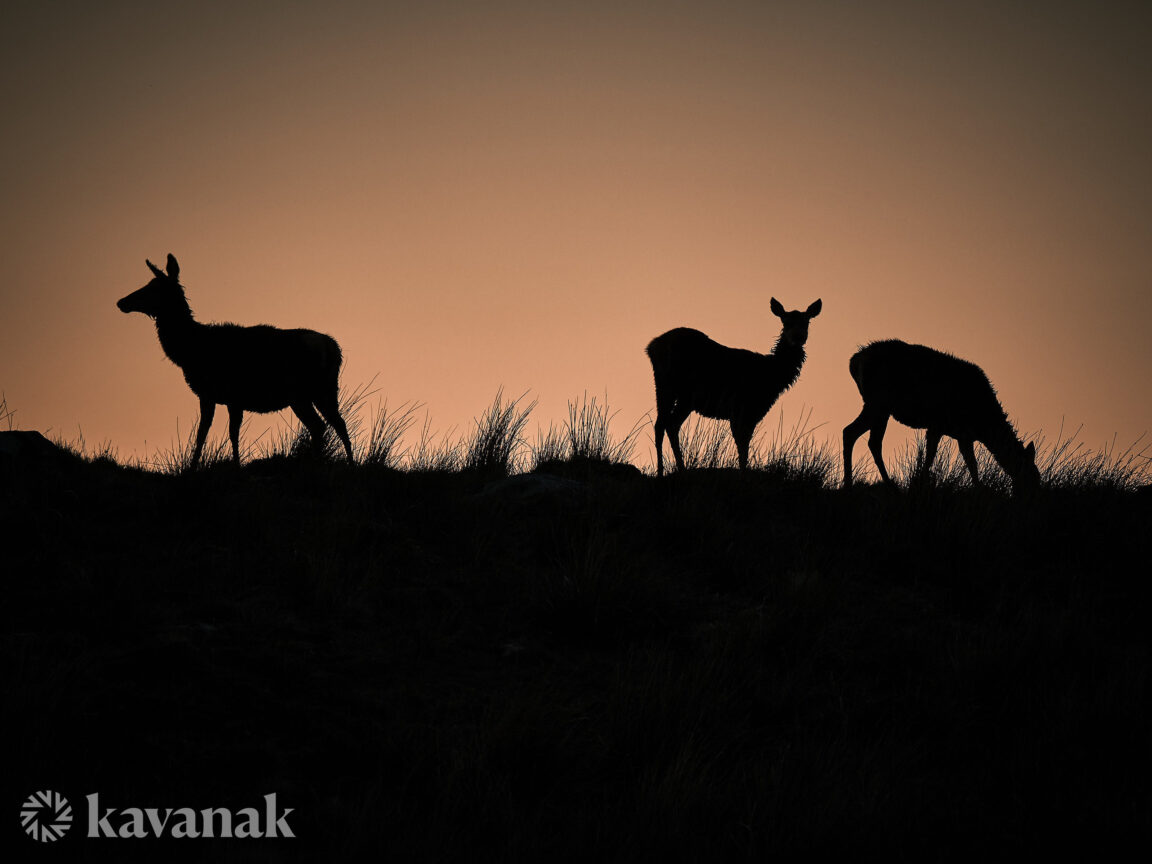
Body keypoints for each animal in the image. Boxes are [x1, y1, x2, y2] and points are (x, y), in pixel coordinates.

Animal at [117, 254, 355, 468]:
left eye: (154, 288)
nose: (121, 302)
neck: (190, 350)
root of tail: (333, 348)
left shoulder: (223, 393)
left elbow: (221, 433)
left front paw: (216, 467)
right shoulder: (217, 396)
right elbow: (208, 432)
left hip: (307, 392)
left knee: (326, 425)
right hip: (321, 391)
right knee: (330, 424)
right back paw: (334, 464)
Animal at [646, 298, 822, 476]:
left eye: (807, 321)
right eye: (785, 322)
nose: (798, 337)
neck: (769, 376)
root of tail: (652, 347)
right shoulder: (744, 408)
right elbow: (743, 444)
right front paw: (743, 472)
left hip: (667, 388)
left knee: (663, 424)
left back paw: (664, 471)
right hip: (682, 391)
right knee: (668, 424)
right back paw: (676, 469)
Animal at [843, 339, 1040, 495]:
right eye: (1033, 476)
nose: (1034, 495)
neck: (984, 425)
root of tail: (854, 361)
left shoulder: (957, 433)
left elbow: (962, 462)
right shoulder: (944, 426)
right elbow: (944, 459)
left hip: (878, 406)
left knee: (867, 440)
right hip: (878, 402)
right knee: (853, 433)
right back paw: (862, 486)